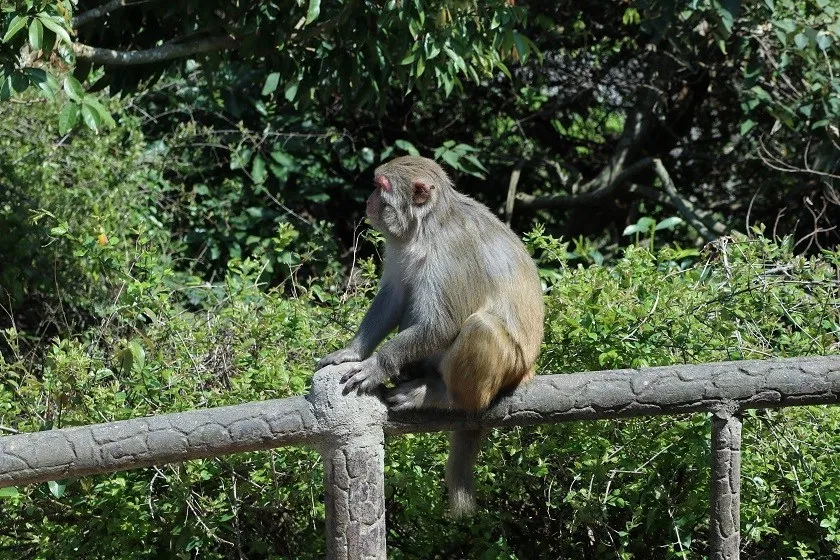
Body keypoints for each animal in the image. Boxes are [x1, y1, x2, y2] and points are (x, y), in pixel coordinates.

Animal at [316, 155, 544, 520]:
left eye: (380, 186)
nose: (368, 201)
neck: (425, 227)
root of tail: (528, 370)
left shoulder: (451, 252)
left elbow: (443, 324)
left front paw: (377, 365)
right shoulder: (401, 247)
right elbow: (394, 296)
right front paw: (353, 352)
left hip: (508, 370)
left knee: (480, 327)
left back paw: (443, 396)